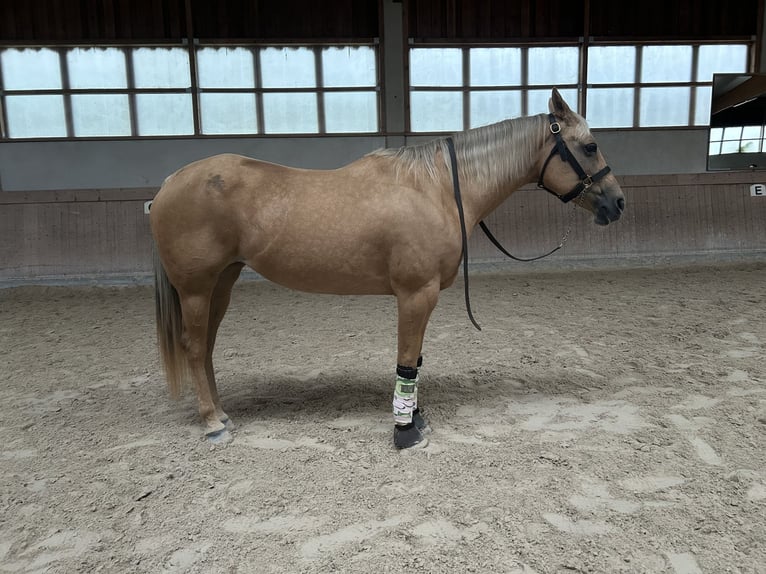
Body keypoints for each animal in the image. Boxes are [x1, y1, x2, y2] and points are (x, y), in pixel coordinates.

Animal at [150, 88, 625, 449]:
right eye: (590, 146)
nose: (617, 203)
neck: (436, 188)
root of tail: (169, 184)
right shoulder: (416, 293)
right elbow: (406, 361)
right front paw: (404, 431)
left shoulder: (423, 297)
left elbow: (416, 357)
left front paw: (416, 417)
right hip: (196, 288)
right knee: (195, 347)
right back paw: (212, 423)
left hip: (222, 283)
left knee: (207, 347)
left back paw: (221, 413)